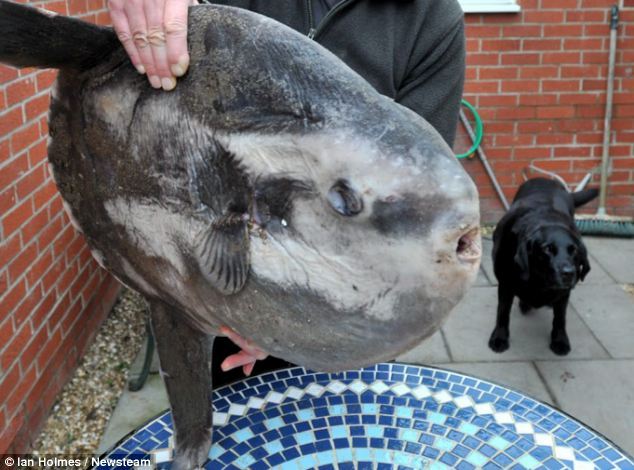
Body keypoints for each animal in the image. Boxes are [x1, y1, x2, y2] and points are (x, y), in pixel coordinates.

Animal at [488, 178, 596, 354]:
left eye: (574, 250)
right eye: (547, 249)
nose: (569, 273)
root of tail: (545, 179)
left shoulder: (564, 293)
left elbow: (560, 318)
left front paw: (560, 340)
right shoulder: (505, 284)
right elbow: (502, 312)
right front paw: (499, 337)